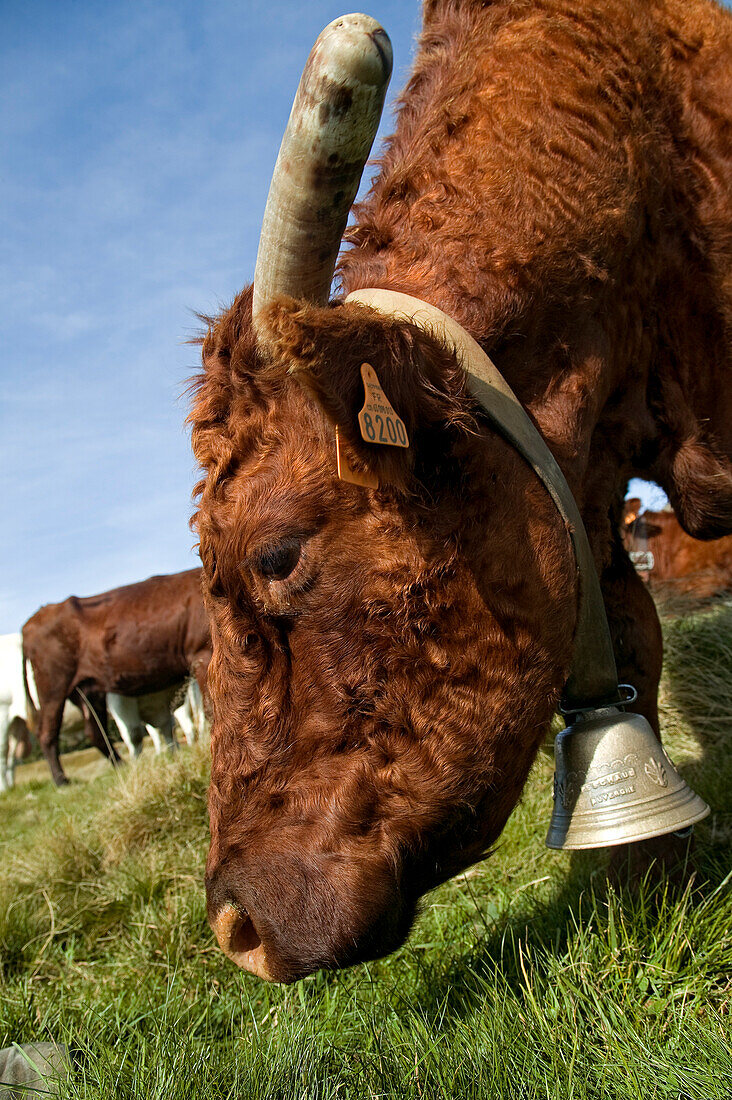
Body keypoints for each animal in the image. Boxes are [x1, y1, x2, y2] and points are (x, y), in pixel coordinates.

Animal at [22, 572, 210, 787]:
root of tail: (35, 617)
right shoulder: (201, 653)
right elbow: (212, 709)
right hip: (53, 686)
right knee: (47, 733)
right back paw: (62, 781)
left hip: (86, 690)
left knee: (95, 732)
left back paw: (121, 766)